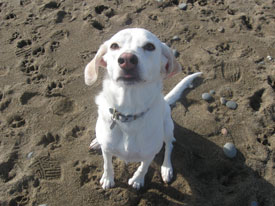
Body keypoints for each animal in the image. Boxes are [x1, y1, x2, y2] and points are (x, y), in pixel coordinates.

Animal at [84, 27, 203, 190]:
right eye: (114, 46)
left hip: (168, 127)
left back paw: (166, 168)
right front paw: (108, 178)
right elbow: (107, 164)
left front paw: (137, 180)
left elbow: (143, 167)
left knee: (169, 145)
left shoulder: (149, 153)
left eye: (150, 46)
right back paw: (97, 141)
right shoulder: (107, 149)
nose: (127, 59)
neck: (128, 113)